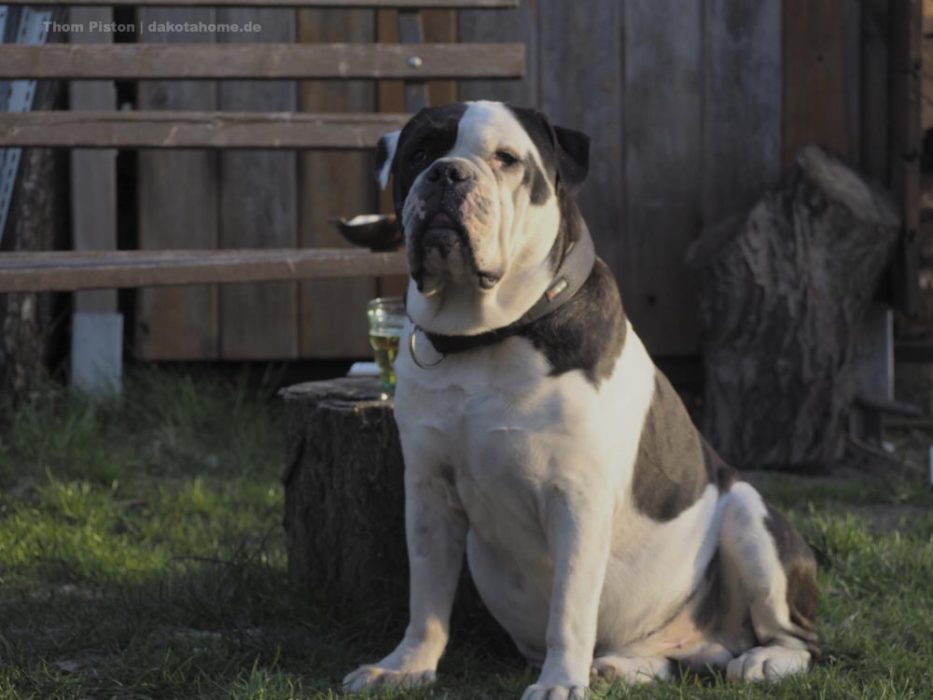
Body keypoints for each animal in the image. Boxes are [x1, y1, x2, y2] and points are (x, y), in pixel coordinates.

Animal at [342, 101, 816, 696]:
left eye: (506, 159)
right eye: (420, 152)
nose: (448, 173)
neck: (487, 333)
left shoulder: (576, 498)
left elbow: (570, 607)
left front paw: (559, 682)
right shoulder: (428, 492)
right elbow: (426, 595)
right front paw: (405, 666)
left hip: (750, 517)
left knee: (798, 636)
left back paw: (765, 660)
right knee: (679, 654)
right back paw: (624, 665)